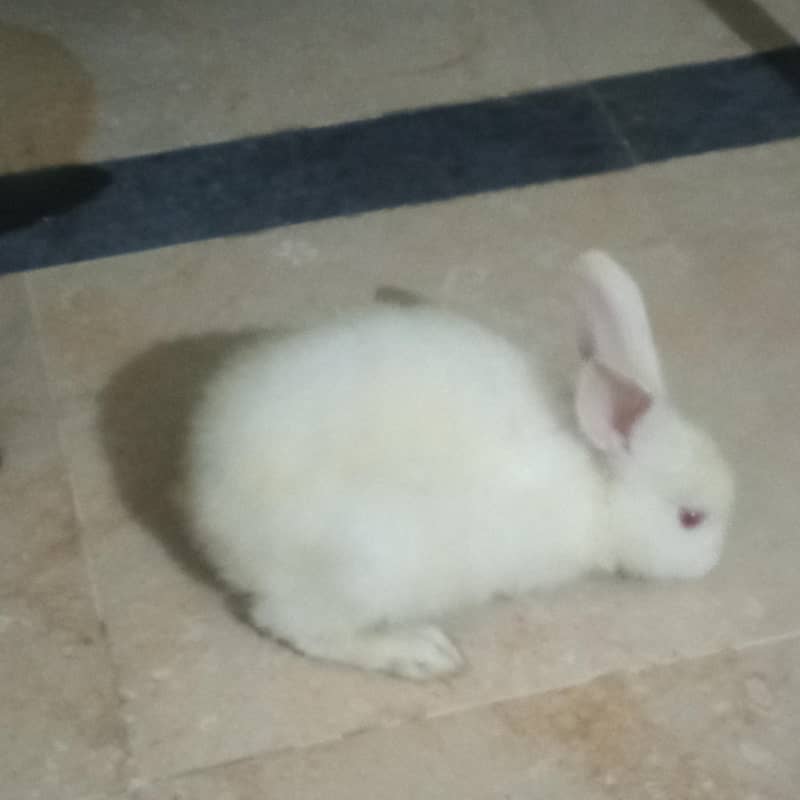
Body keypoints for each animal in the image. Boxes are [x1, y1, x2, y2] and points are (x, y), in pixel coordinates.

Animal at [185, 250, 734, 680]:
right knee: (295, 624)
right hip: (367, 567)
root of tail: (211, 509)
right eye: (690, 519)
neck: (598, 487)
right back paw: (422, 653)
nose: (712, 562)